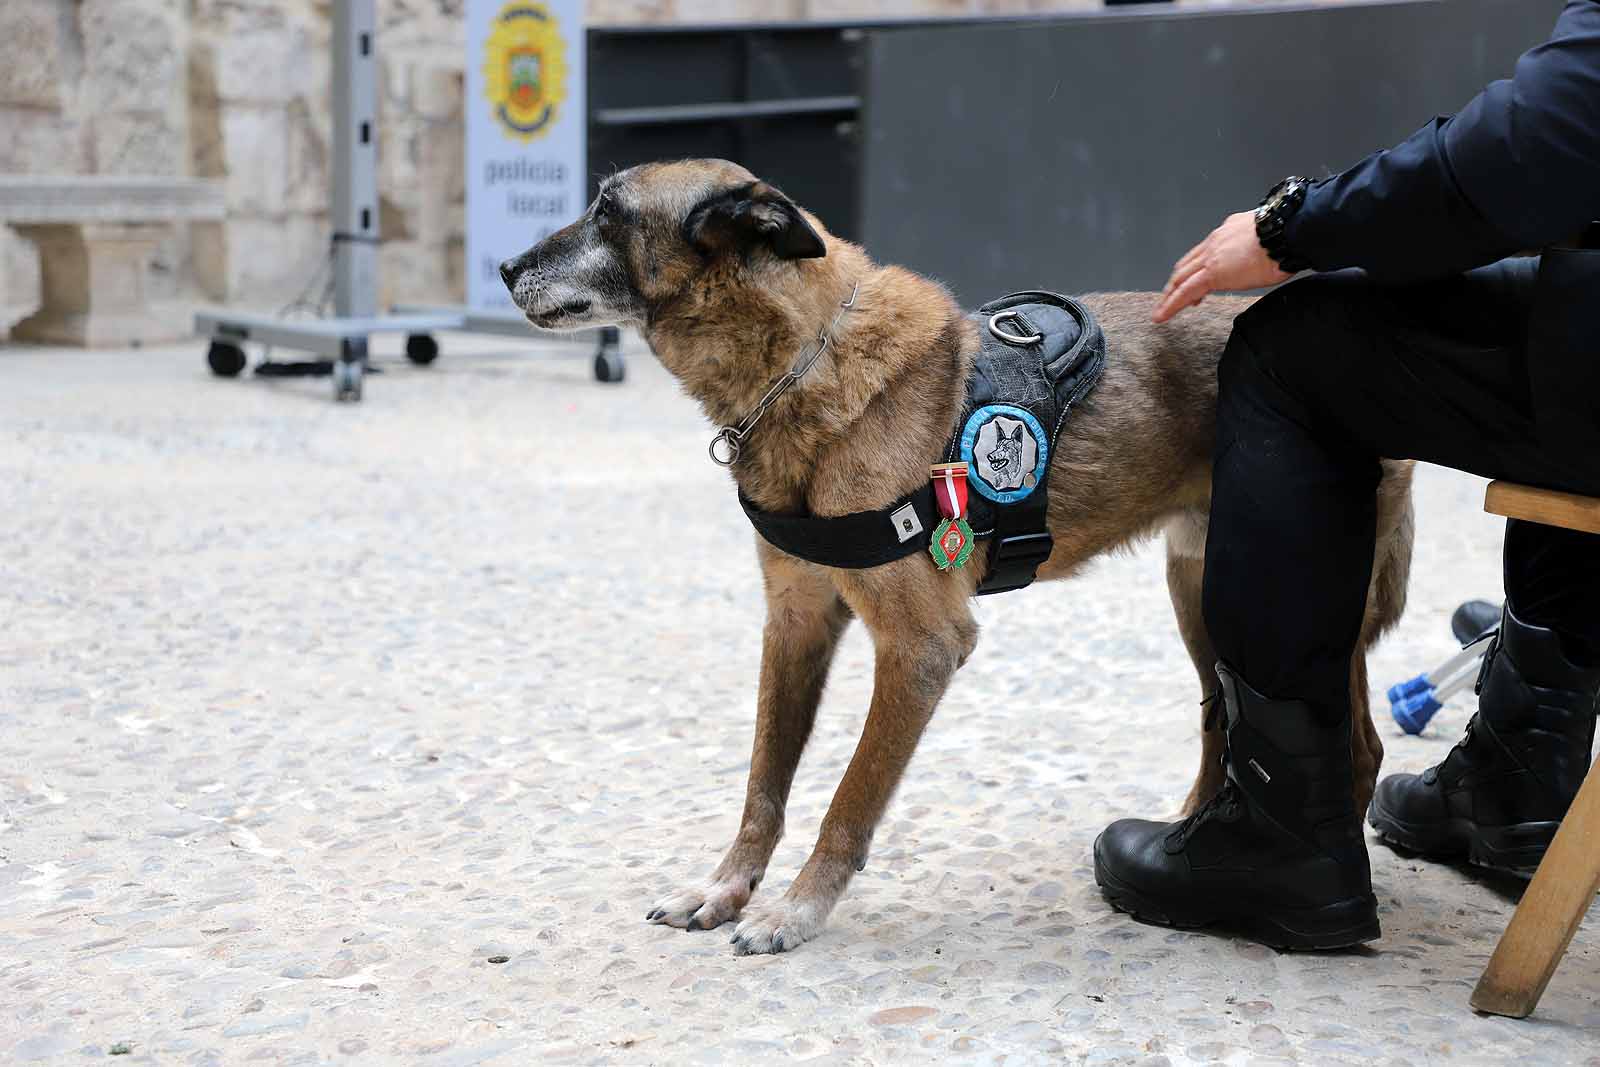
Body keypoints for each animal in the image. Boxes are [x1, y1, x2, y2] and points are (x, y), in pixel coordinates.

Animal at [499, 158, 1414, 959]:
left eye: (608, 212)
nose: (504, 266)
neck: (805, 361)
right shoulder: (795, 624)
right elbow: (764, 783)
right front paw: (725, 888)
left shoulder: (922, 647)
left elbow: (849, 796)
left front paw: (795, 909)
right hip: (1198, 589)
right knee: (1226, 717)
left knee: (1354, 744)